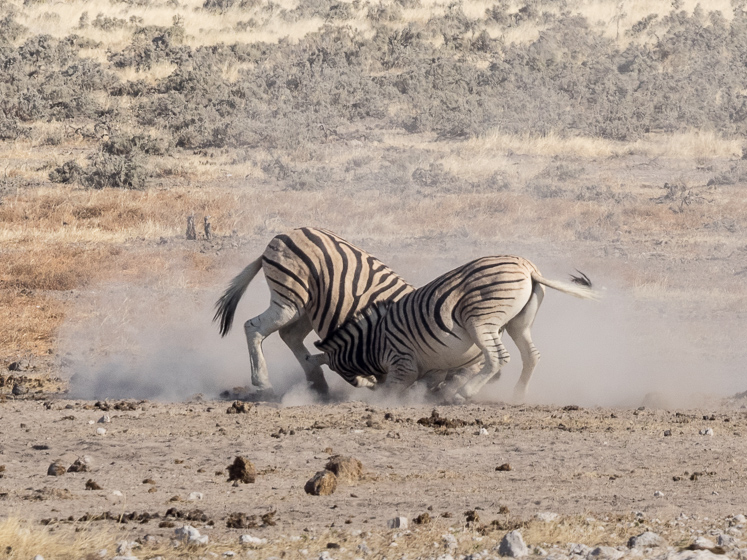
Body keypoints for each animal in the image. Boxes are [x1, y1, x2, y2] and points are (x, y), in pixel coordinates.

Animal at [213, 227, 413, 397]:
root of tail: (285, 233)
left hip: (310, 307)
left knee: (289, 334)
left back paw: (317, 382)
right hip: (290, 302)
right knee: (254, 327)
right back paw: (264, 384)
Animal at [309, 255, 598, 402]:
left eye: (340, 371)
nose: (370, 385)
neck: (371, 343)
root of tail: (527, 268)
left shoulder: (402, 363)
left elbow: (395, 389)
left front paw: (382, 400)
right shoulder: (433, 365)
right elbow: (429, 384)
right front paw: (430, 396)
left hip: (480, 320)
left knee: (497, 357)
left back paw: (466, 393)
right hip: (519, 322)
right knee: (531, 355)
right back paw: (518, 395)